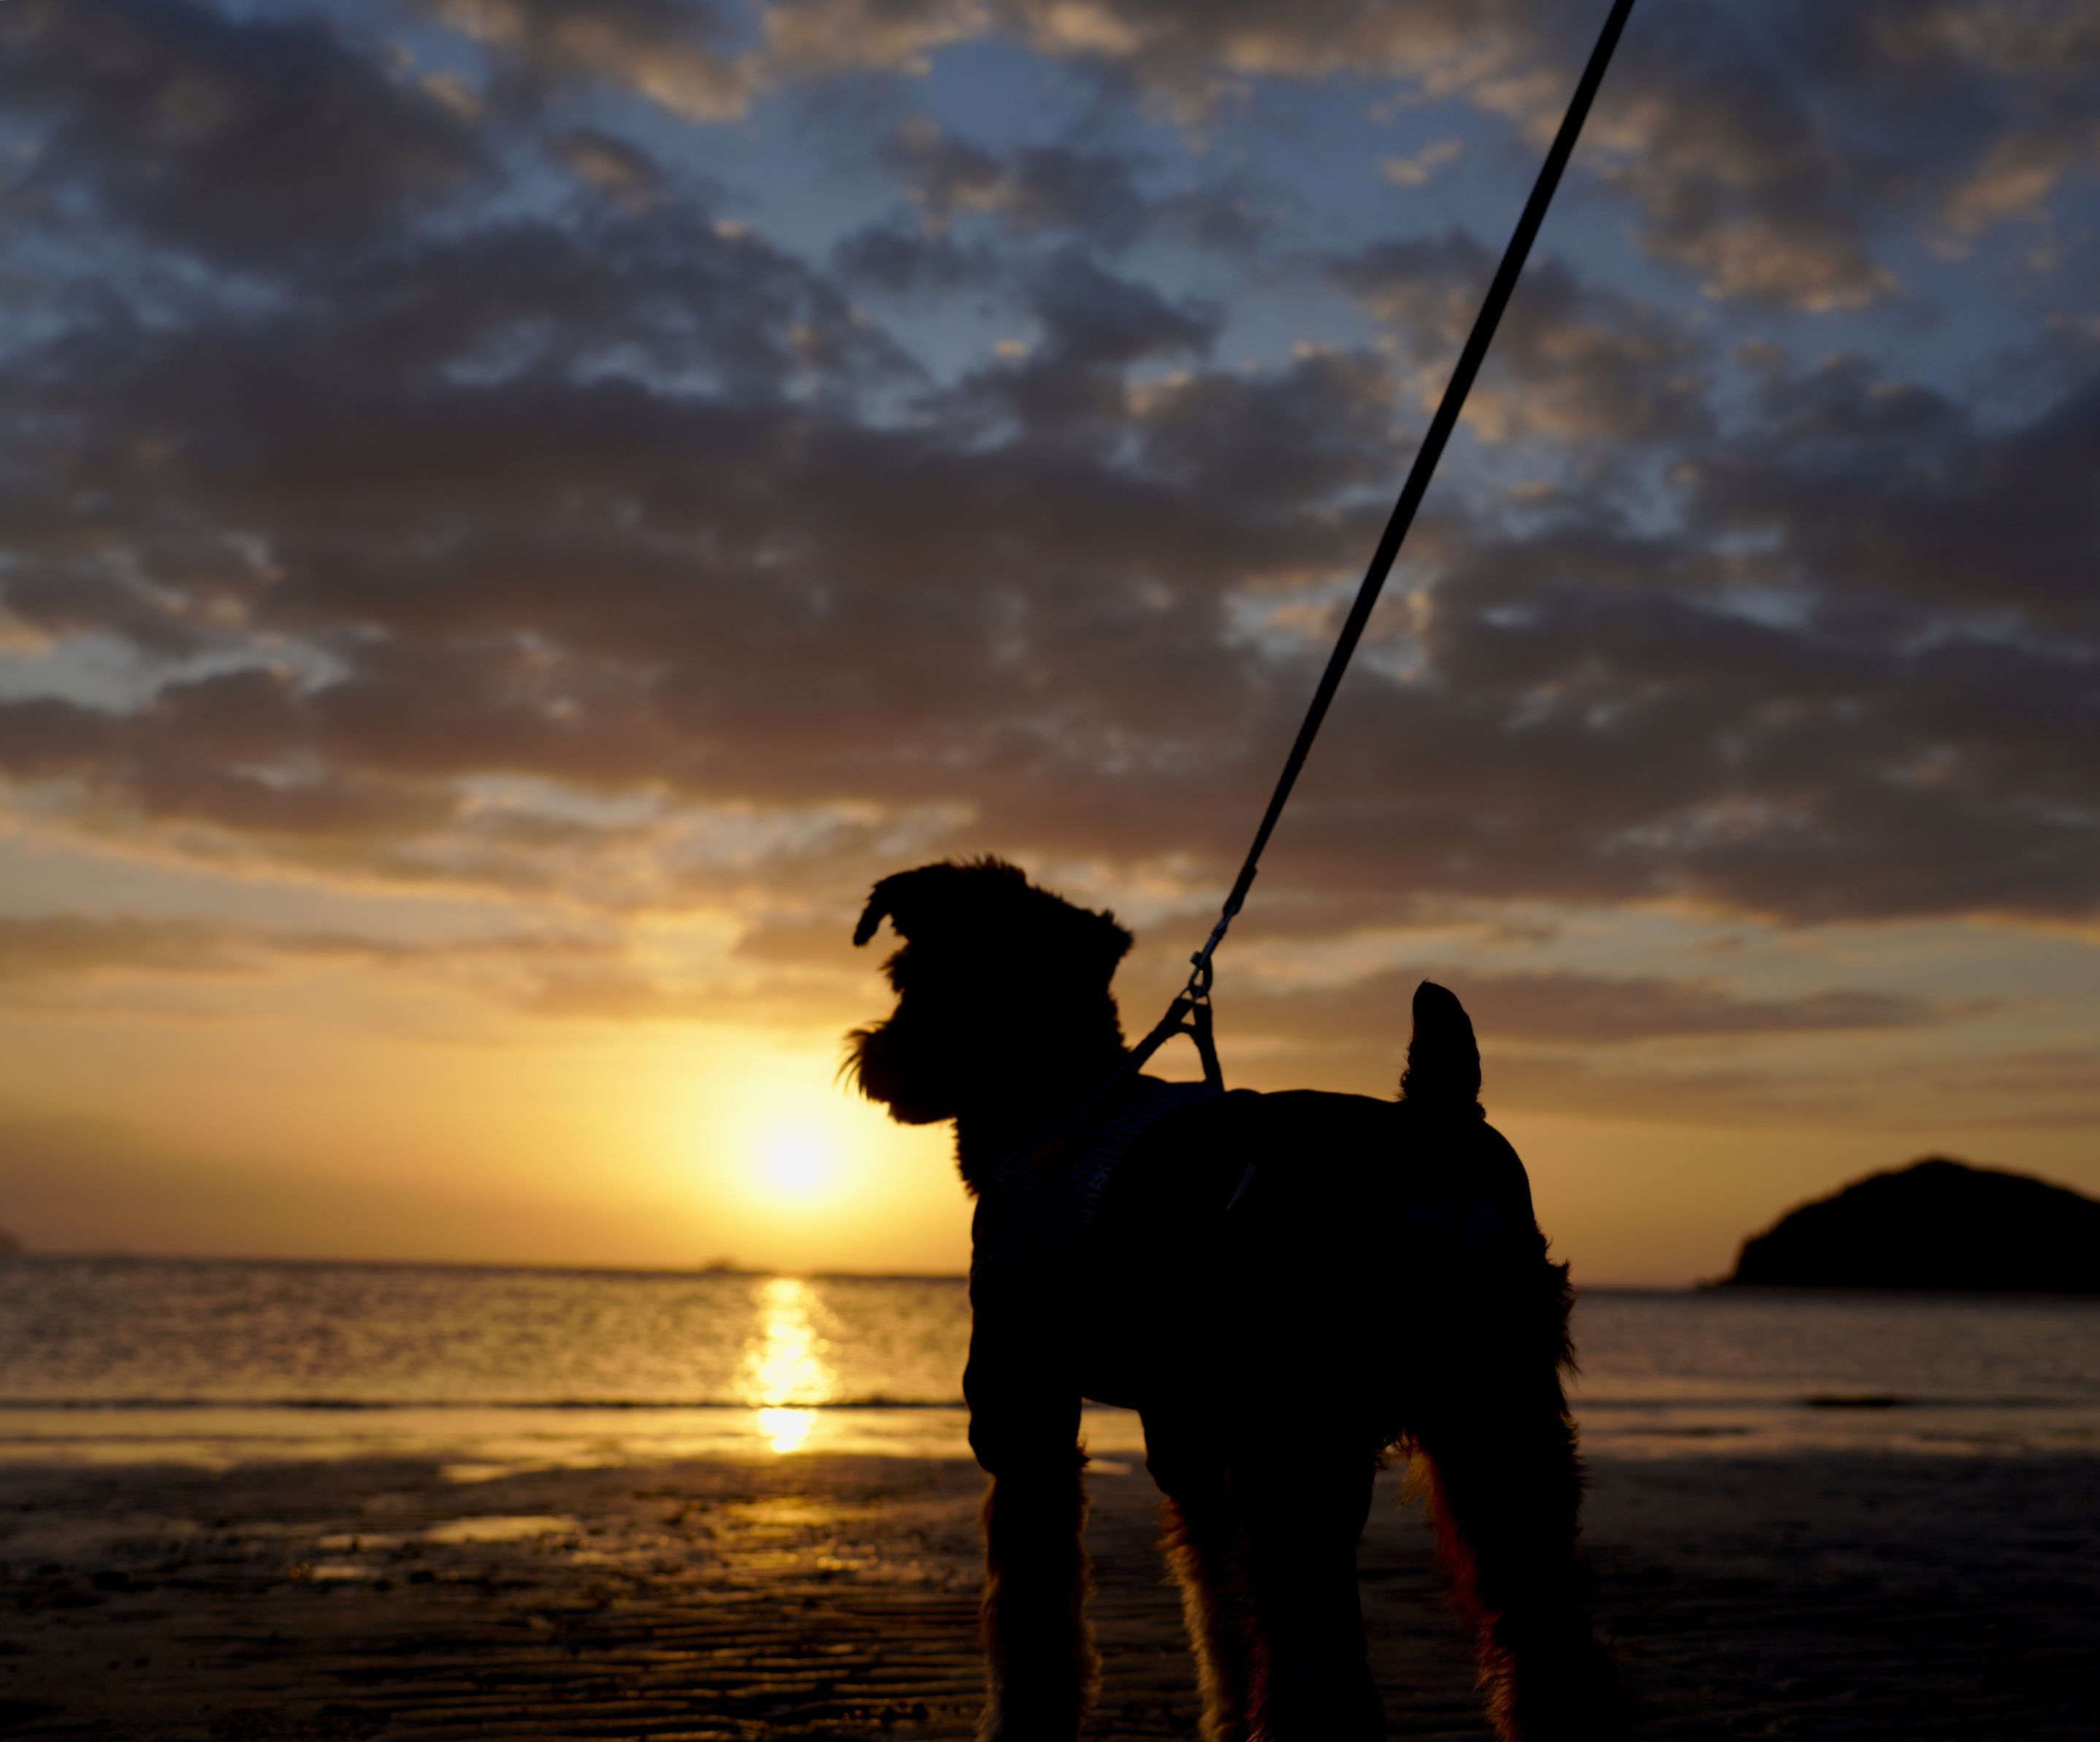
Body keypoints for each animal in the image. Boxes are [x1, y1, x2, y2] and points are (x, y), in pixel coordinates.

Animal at [847, 857, 1625, 1742]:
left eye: (906, 975)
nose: (875, 1058)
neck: (1057, 1099)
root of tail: (1433, 1134)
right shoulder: (1186, 1432)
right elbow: (1217, 1602)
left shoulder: (1023, 1405)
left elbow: (1031, 1605)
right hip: (1499, 1419)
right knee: (1547, 1629)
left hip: (1305, 1436)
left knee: (1322, 1664)